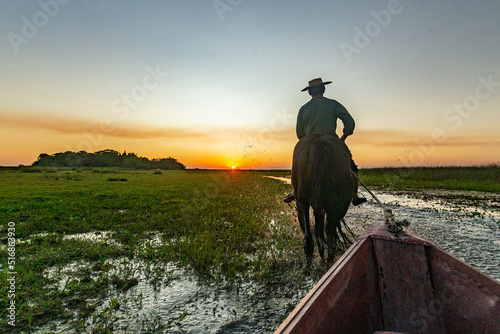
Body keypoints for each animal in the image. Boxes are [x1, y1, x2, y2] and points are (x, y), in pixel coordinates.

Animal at [292, 134, 354, 264]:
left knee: (310, 234)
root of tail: (320, 144)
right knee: (330, 231)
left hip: (302, 201)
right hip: (338, 203)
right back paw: (328, 257)